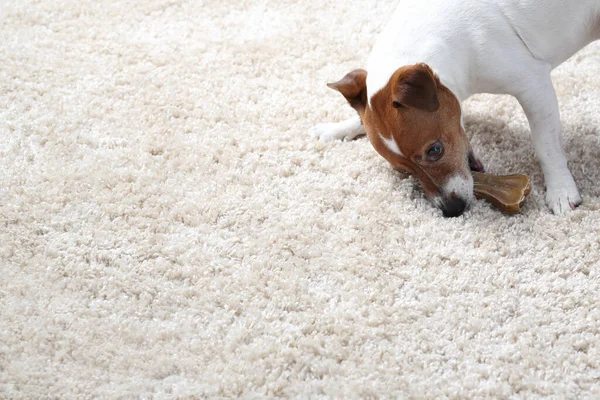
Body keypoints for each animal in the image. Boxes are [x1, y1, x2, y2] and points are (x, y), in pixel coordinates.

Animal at [310, 0, 600, 217]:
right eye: (403, 171)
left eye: (434, 150)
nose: (452, 210)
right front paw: (337, 128)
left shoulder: (534, 87)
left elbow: (546, 147)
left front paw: (560, 190)